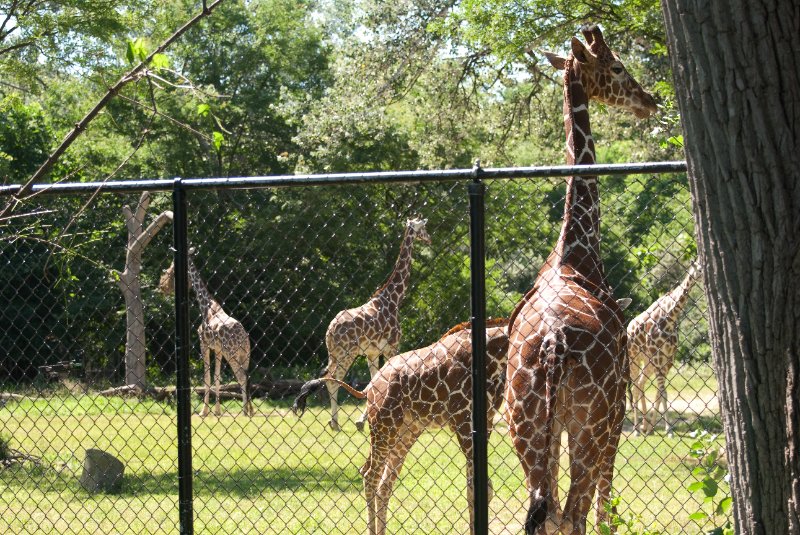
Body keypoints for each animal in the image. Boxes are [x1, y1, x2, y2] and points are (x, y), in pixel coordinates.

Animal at [160, 248, 253, 417]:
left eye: (171, 270)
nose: (162, 286)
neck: (206, 306)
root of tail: (242, 337)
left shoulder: (204, 344)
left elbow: (207, 377)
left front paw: (204, 411)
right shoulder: (218, 349)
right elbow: (216, 377)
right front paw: (217, 410)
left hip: (232, 354)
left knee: (242, 378)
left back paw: (244, 411)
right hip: (245, 354)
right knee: (247, 377)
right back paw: (251, 409)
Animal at [293, 318, 510, 535]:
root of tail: (369, 388)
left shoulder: (486, 420)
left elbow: (480, 488)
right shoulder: (463, 419)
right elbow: (475, 488)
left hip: (404, 431)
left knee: (379, 480)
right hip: (384, 425)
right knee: (371, 475)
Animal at [320, 217, 430, 432]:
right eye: (424, 228)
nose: (429, 239)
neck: (394, 299)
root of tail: (331, 329)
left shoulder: (371, 352)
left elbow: (374, 380)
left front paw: (362, 420)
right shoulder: (391, 347)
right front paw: (364, 420)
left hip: (334, 353)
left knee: (328, 376)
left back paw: (332, 421)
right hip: (347, 353)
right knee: (334, 380)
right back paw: (335, 424)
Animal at [505, 25, 658, 535]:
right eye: (617, 67)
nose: (649, 100)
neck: (575, 249)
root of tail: (554, 346)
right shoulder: (616, 412)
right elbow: (601, 506)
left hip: (527, 425)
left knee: (543, 509)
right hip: (587, 423)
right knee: (572, 511)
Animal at [628, 260, 702, 435]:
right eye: (700, 269)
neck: (670, 316)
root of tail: (627, 328)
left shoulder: (669, 357)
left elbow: (660, 393)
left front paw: (654, 427)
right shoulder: (658, 356)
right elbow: (663, 392)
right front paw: (669, 430)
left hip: (648, 362)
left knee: (640, 383)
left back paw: (644, 426)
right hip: (634, 358)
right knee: (635, 385)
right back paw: (636, 429)